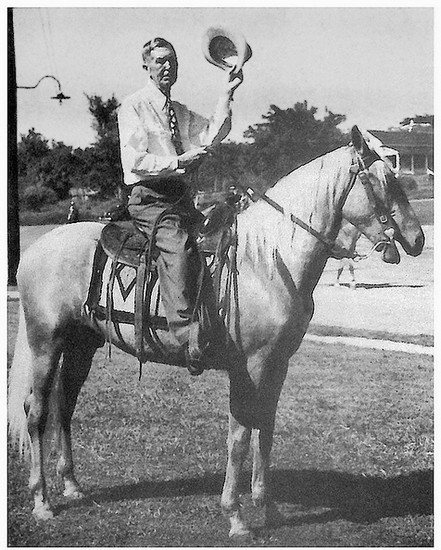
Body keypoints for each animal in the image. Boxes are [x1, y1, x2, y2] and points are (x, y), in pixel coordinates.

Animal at [7, 126, 422, 540]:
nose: (417, 239)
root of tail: (36, 249)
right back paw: (42, 501)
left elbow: (265, 430)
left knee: (64, 405)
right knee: (37, 412)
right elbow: (239, 437)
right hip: (45, 342)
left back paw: (72, 485)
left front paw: (266, 507)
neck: (268, 260)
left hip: (82, 345)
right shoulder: (248, 368)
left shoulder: (277, 365)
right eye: (385, 181)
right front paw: (235, 516)